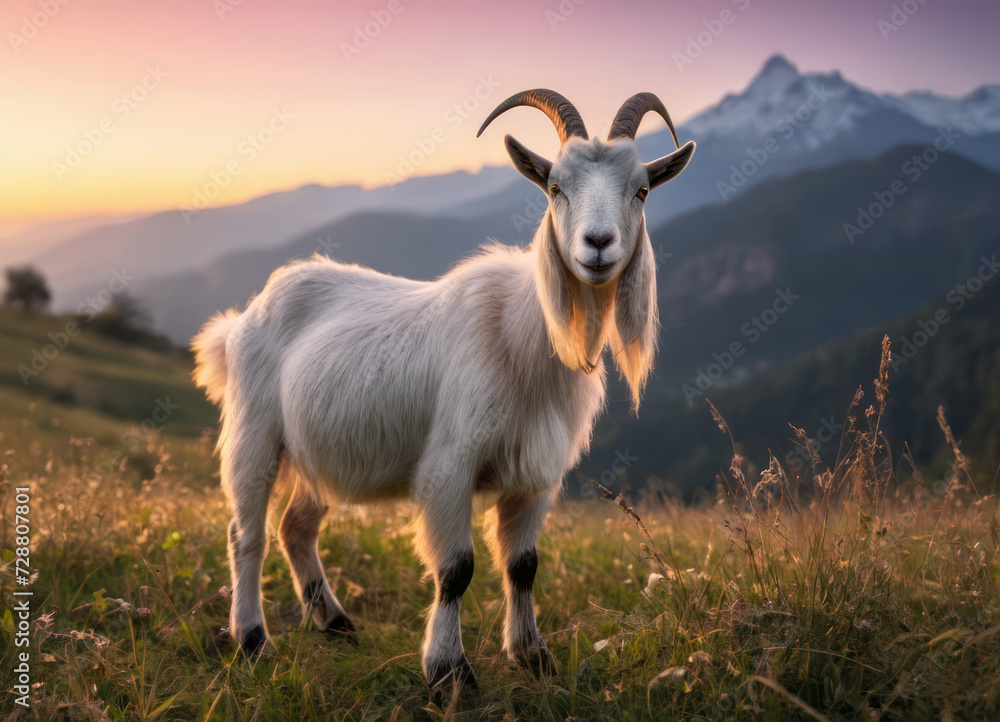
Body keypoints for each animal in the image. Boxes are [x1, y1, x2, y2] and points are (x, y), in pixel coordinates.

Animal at [192, 89, 695, 689]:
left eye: (641, 190)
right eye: (555, 187)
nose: (598, 245)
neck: (523, 337)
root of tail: (244, 318)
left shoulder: (536, 476)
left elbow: (523, 566)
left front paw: (531, 654)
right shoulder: (450, 466)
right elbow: (456, 569)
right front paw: (448, 671)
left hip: (318, 452)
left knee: (296, 528)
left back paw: (337, 623)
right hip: (254, 436)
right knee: (247, 534)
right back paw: (252, 640)